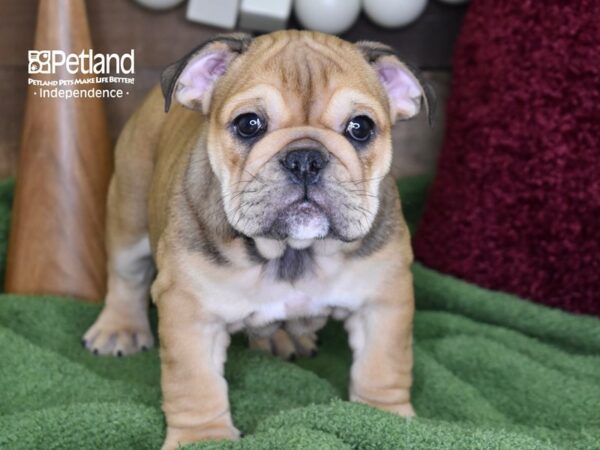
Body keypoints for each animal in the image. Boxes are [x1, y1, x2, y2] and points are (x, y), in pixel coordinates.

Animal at [83, 30, 432, 450]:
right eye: (248, 124)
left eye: (360, 127)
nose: (305, 159)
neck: (292, 252)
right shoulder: (189, 312)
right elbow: (195, 384)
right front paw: (204, 437)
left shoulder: (382, 299)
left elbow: (383, 365)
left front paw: (384, 417)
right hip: (129, 209)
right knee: (125, 276)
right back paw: (119, 329)